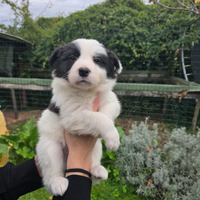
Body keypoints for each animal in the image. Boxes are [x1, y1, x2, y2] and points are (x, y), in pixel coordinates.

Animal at [36, 38, 122, 195]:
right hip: (49, 148)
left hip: (96, 148)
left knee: (92, 168)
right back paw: (57, 183)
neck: (85, 91)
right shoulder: (73, 116)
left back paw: (97, 170)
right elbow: (97, 117)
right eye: (72, 58)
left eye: (97, 60)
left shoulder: (111, 101)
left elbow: (105, 114)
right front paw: (113, 139)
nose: (83, 70)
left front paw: (110, 135)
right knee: (50, 177)